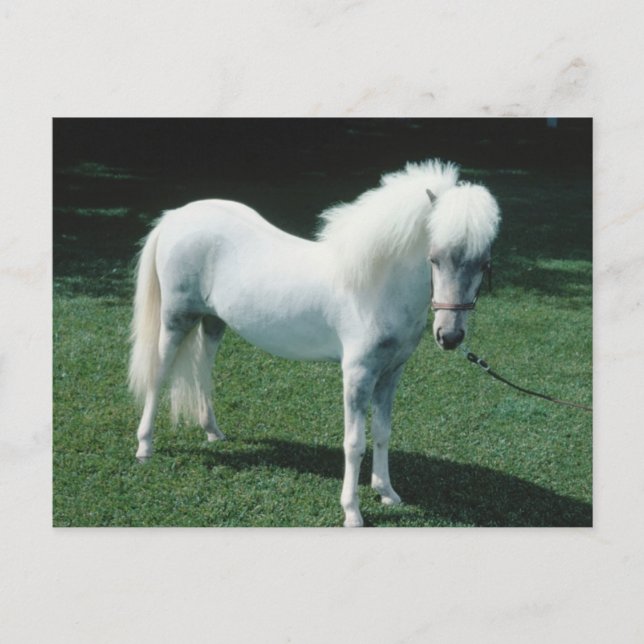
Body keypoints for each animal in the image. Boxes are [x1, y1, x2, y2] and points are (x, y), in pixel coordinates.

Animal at [128, 159, 501, 527]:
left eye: (484, 264)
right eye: (434, 258)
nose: (449, 336)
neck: (376, 286)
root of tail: (176, 216)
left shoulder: (390, 373)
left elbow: (382, 432)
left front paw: (387, 493)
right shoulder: (358, 374)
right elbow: (355, 443)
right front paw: (352, 511)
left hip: (213, 322)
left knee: (203, 369)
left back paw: (213, 432)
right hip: (176, 320)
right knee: (158, 375)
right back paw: (145, 447)